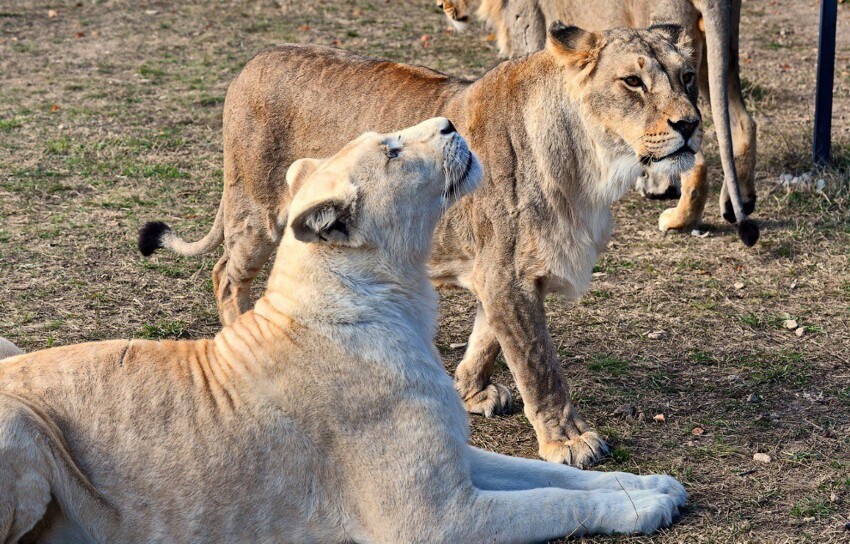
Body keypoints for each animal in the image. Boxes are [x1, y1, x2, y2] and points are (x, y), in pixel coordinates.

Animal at [0, 120, 684, 544]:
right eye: (391, 152)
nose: (448, 123)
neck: (397, 301)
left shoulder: (453, 462)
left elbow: (559, 477)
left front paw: (651, 486)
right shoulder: (437, 519)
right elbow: (555, 502)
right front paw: (644, 506)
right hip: (22, 428)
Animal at [137, 24, 756, 468]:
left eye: (689, 77)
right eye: (633, 82)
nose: (690, 125)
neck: (590, 164)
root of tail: (251, 62)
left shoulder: (505, 273)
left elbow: (489, 339)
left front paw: (472, 393)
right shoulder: (507, 274)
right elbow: (540, 364)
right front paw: (569, 441)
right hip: (258, 213)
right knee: (225, 272)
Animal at [438, 0, 756, 235]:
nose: (443, 6)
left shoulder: (529, 33)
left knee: (696, 157)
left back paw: (679, 220)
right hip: (714, 55)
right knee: (742, 122)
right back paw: (738, 203)